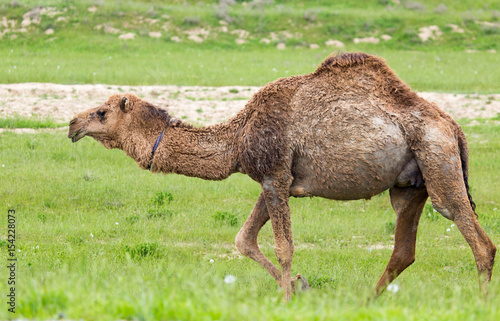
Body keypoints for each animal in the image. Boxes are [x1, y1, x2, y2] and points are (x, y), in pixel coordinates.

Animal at [67, 52, 496, 300]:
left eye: (101, 113)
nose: (72, 124)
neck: (238, 137)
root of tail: (454, 126)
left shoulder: (274, 175)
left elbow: (282, 246)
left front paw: (288, 298)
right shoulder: (273, 179)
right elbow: (243, 239)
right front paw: (298, 285)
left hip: (437, 159)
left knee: (475, 236)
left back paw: (480, 301)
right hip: (410, 184)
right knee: (404, 248)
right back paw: (368, 301)